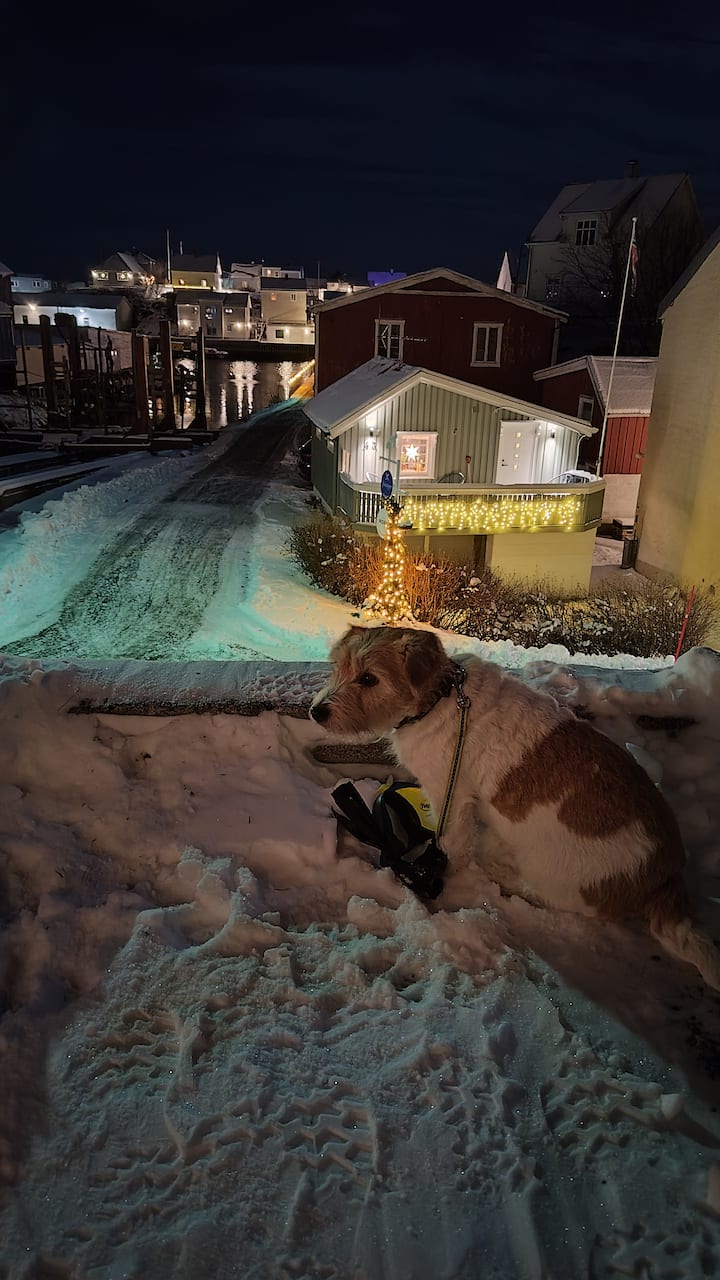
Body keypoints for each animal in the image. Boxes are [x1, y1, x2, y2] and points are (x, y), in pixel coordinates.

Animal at [310, 624, 720, 991]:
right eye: (338, 667)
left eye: (369, 679)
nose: (316, 712)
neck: (441, 698)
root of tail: (666, 874)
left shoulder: (450, 795)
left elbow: (452, 844)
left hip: (557, 873)